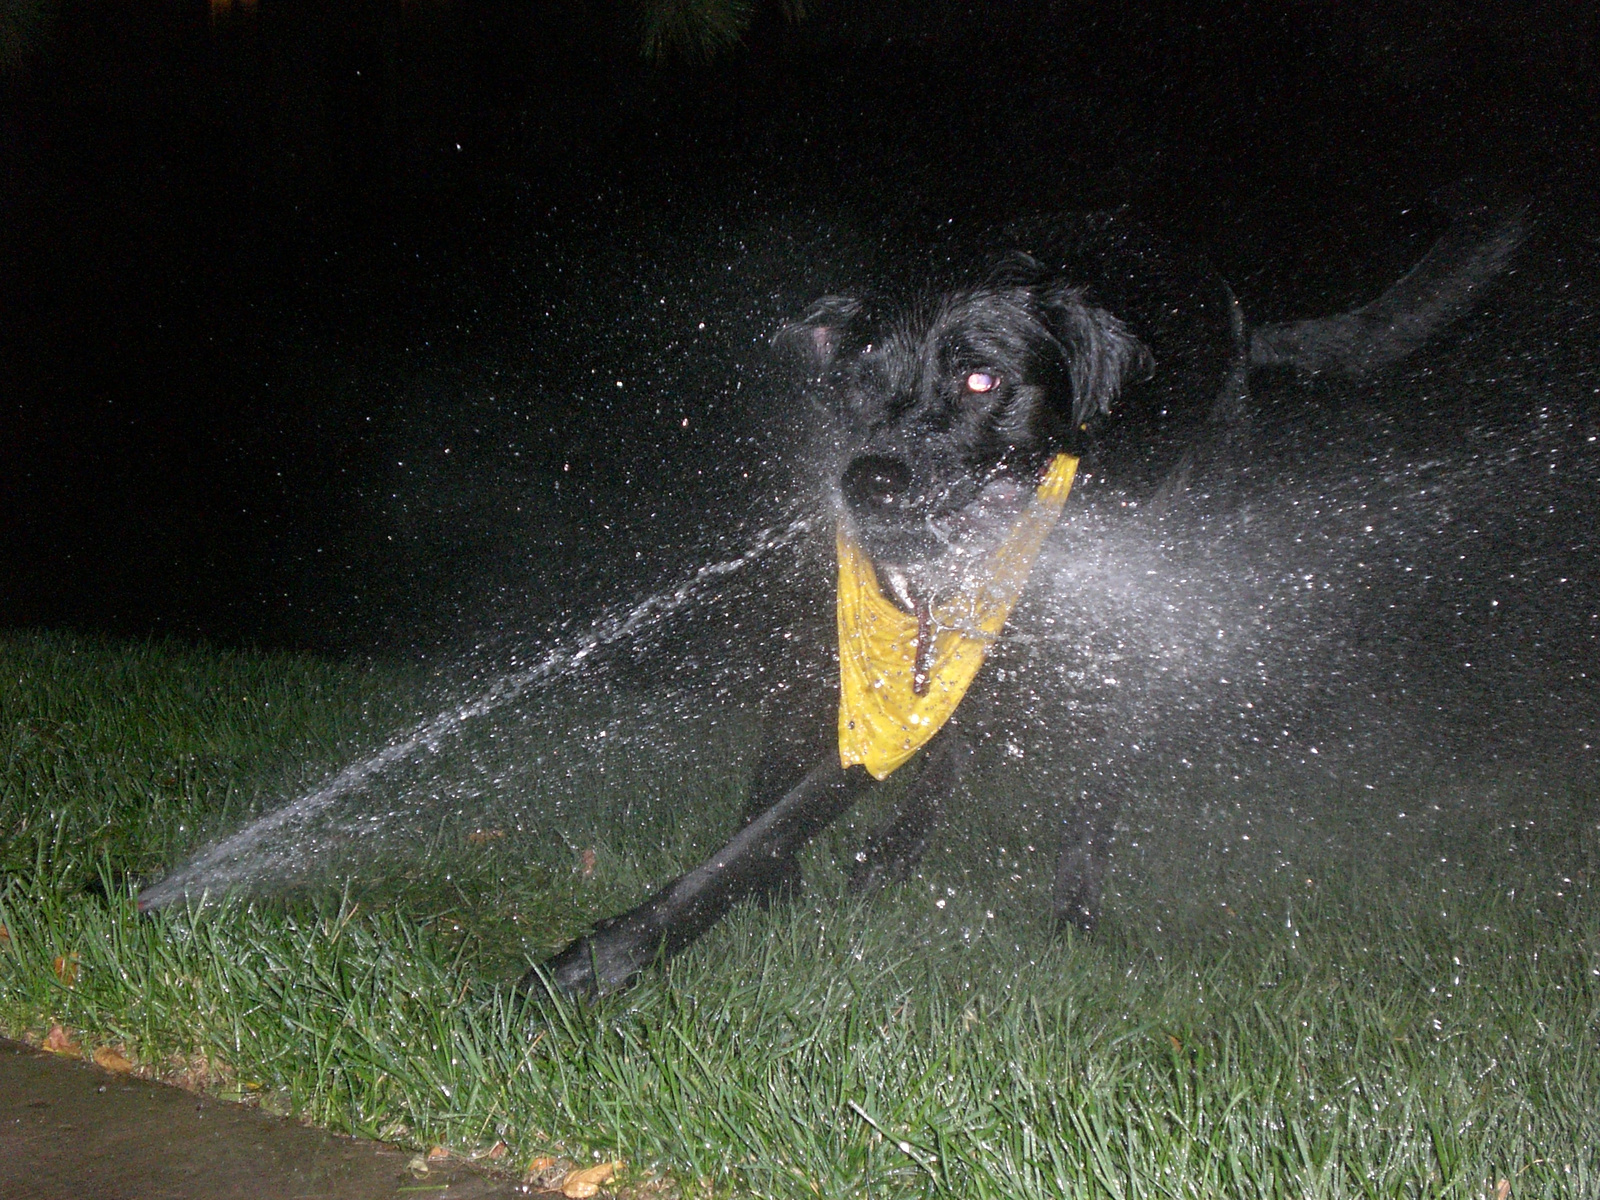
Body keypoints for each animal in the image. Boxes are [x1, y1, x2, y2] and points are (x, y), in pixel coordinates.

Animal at [524, 204, 1523, 998]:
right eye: (858, 380)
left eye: (982, 379)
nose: (868, 481)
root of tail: (1240, 320)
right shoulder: (838, 629)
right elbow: (789, 764)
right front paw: (774, 875)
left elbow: (795, 810)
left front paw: (608, 956)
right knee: (957, 744)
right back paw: (896, 855)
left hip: (1139, 607)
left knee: (1099, 769)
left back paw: (1070, 903)